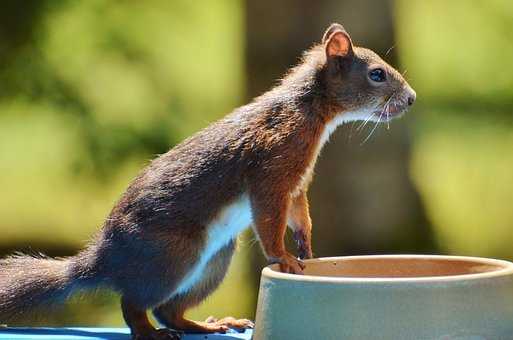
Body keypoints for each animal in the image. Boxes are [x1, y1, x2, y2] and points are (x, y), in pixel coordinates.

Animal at [0, 23, 414, 340]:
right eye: (377, 74)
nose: (411, 99)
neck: (310, 112)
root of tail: (105, 260)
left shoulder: (297, 182)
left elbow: (300, 214)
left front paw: (307, 248)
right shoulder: (271, 168)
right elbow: (269, 218)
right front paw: (283, 256)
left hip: (214, 261)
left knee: (169, 310)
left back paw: (208, 325)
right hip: (173, 254)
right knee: (134, 304)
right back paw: (150, 332)